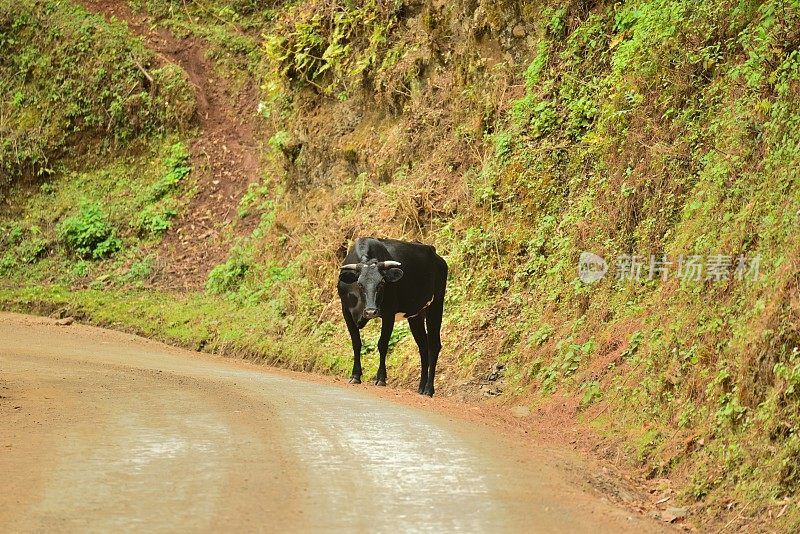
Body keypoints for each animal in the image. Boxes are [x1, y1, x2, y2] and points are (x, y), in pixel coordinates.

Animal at [336, 239, 446, 398]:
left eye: (382, 283)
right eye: (360, 284)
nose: (371, 311)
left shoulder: (388, 313)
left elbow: (382, 344)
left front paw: (381, 378)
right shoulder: (346, 311)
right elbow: (356, 343)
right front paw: (355, 376)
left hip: (436, 304)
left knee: (433, 345)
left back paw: (428, 389)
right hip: (416, 315)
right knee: (423, 346)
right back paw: (420, 387)